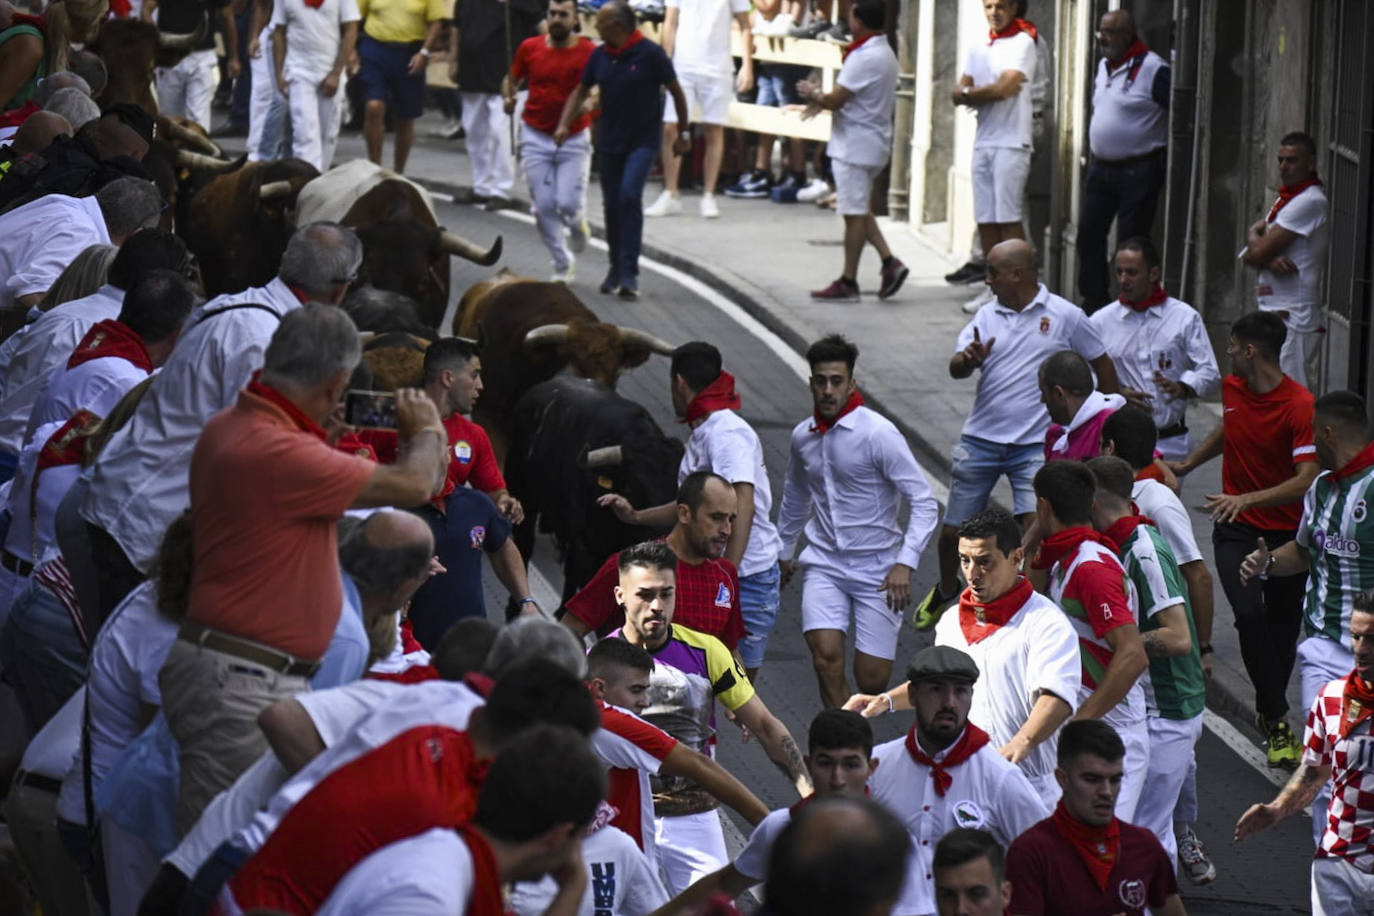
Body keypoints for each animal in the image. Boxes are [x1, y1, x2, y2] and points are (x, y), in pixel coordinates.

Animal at [505, 373, 681, 609]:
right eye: (631, 486)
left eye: (677, 489)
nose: (663, 536)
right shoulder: (585, 546)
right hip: (522, 491)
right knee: (525, 543)